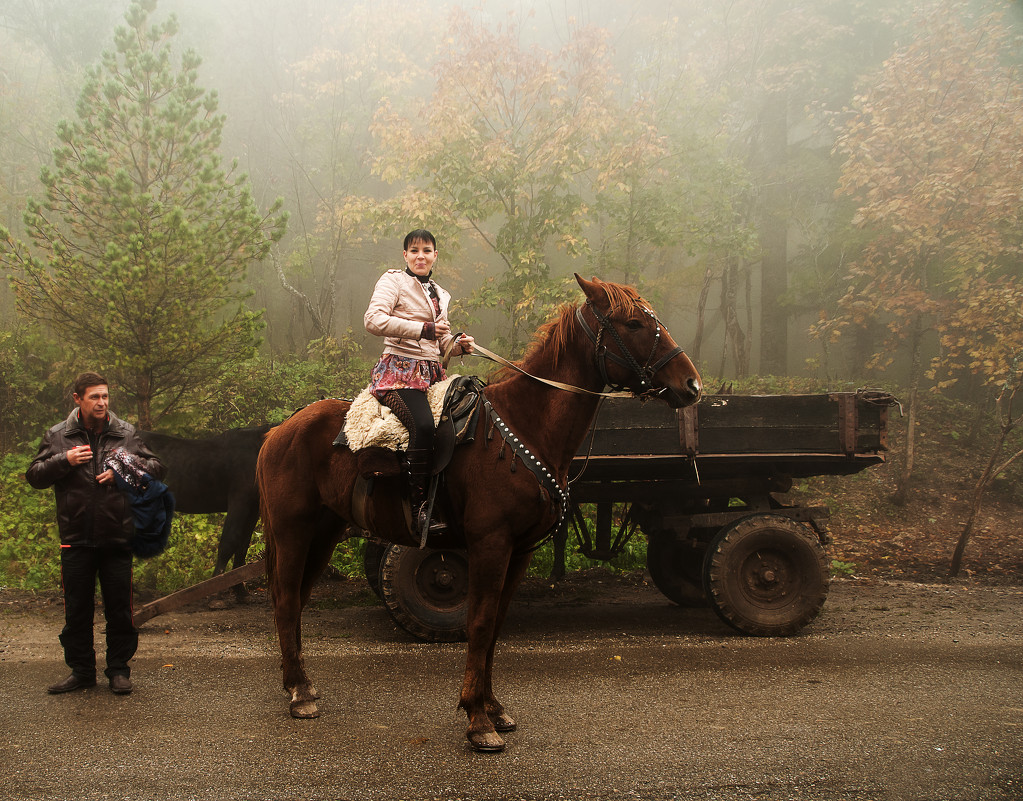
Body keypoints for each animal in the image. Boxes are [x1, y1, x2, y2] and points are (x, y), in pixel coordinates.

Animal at [140, 425, 270, 593]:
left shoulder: (252, 508)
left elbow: (242, 548)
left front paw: (240, 590)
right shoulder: (239, 502)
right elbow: (228, 544)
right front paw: (217, 589)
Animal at [255, 276, 703, 752]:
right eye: (634, 323)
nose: (691, 385)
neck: (524, 428)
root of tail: (279, 431)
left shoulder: (520, 551)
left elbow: (497, 626)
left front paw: (493, 707)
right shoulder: (491, 544)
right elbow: (482, 623)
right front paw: (476, 719)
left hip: (322, 533)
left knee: (297, 599)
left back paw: (301, 683)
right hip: (291, 531)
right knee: (286, 599)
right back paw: (300, 695)